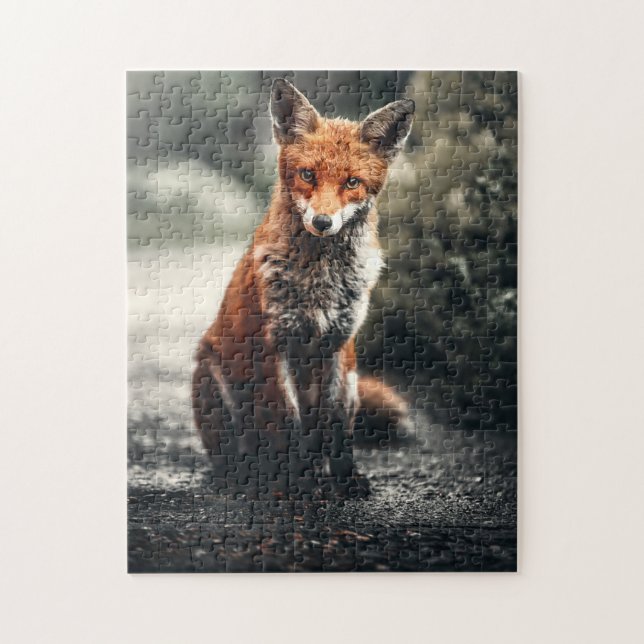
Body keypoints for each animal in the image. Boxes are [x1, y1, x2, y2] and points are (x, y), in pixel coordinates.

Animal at [192, 78, 415, 496]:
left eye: (352, 182)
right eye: (308, 175)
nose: (323, 222)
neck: (320, 282)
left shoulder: (338, 347)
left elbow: (335, 427)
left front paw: (344, 477)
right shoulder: (273, 345)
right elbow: (287, 424)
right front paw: (302, 484)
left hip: (354, 380)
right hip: (210, 379)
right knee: (233, 454)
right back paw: (244, 477)